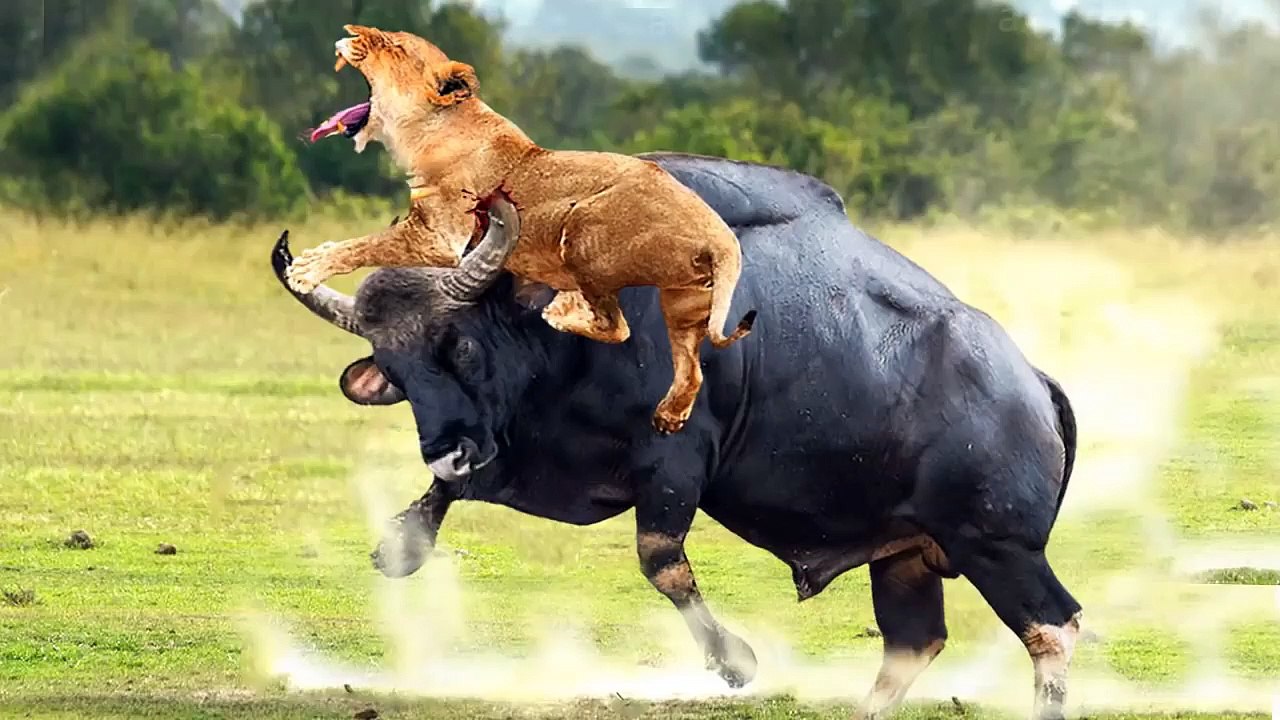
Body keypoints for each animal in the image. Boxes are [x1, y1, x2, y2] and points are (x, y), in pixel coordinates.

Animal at [272, 152, 1082, 720]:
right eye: (395, 370)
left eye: (462, 347)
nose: (447, 444)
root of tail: (1033, 383)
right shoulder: (517, 450)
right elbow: (445, 495)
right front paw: (402, 542)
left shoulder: (673, 466)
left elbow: (661, 562)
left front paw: (735, 662)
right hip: (907, 556)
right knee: (914, 643)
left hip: (998, 547)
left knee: (1053, 628)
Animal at [284, 25, 756, 434]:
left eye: (393, 46)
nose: (349, 35)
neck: (430, 132)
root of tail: (720, 236)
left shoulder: (440, 237)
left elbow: (365, 244)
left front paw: (307, 268)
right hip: (683, 301)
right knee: (690, 371)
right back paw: (667, 416)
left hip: (583, 227)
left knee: (616, 325)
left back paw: (562, 312)